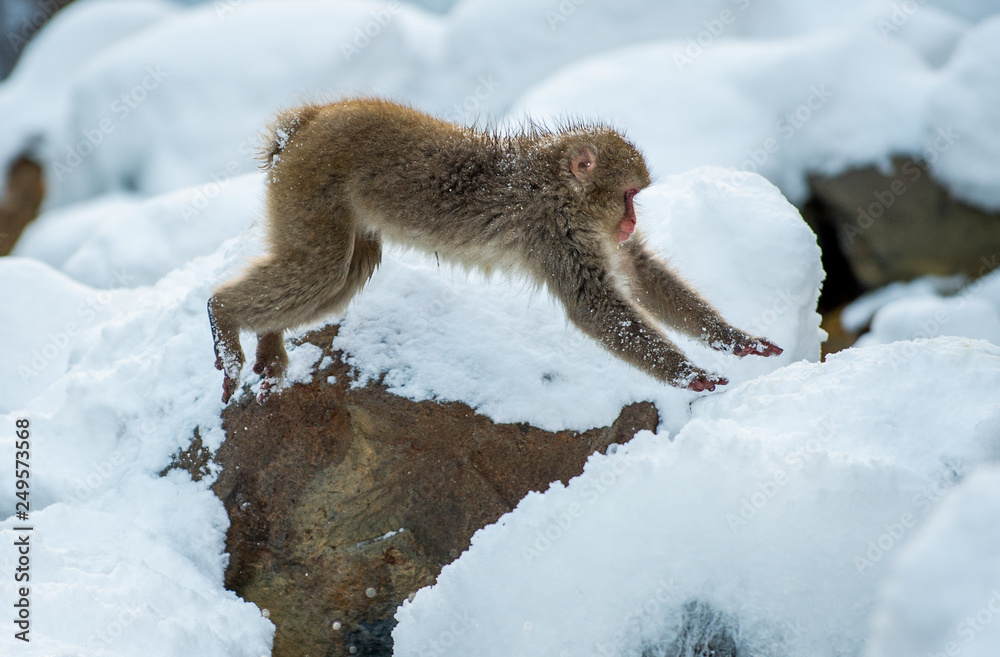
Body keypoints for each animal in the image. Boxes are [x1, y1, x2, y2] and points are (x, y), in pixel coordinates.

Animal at [208, 97, 782, 404]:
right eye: (630, 195)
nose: (631, 221)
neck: (555, 184)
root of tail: (307, 120)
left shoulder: (588, 231)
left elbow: (638, 270)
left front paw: (734, 340)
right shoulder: (553, 231)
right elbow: (594, 306)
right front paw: (690, 375)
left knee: (344, 276)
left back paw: (267, 341)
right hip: (308, 187)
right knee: (325, 270)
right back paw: (224, 318)